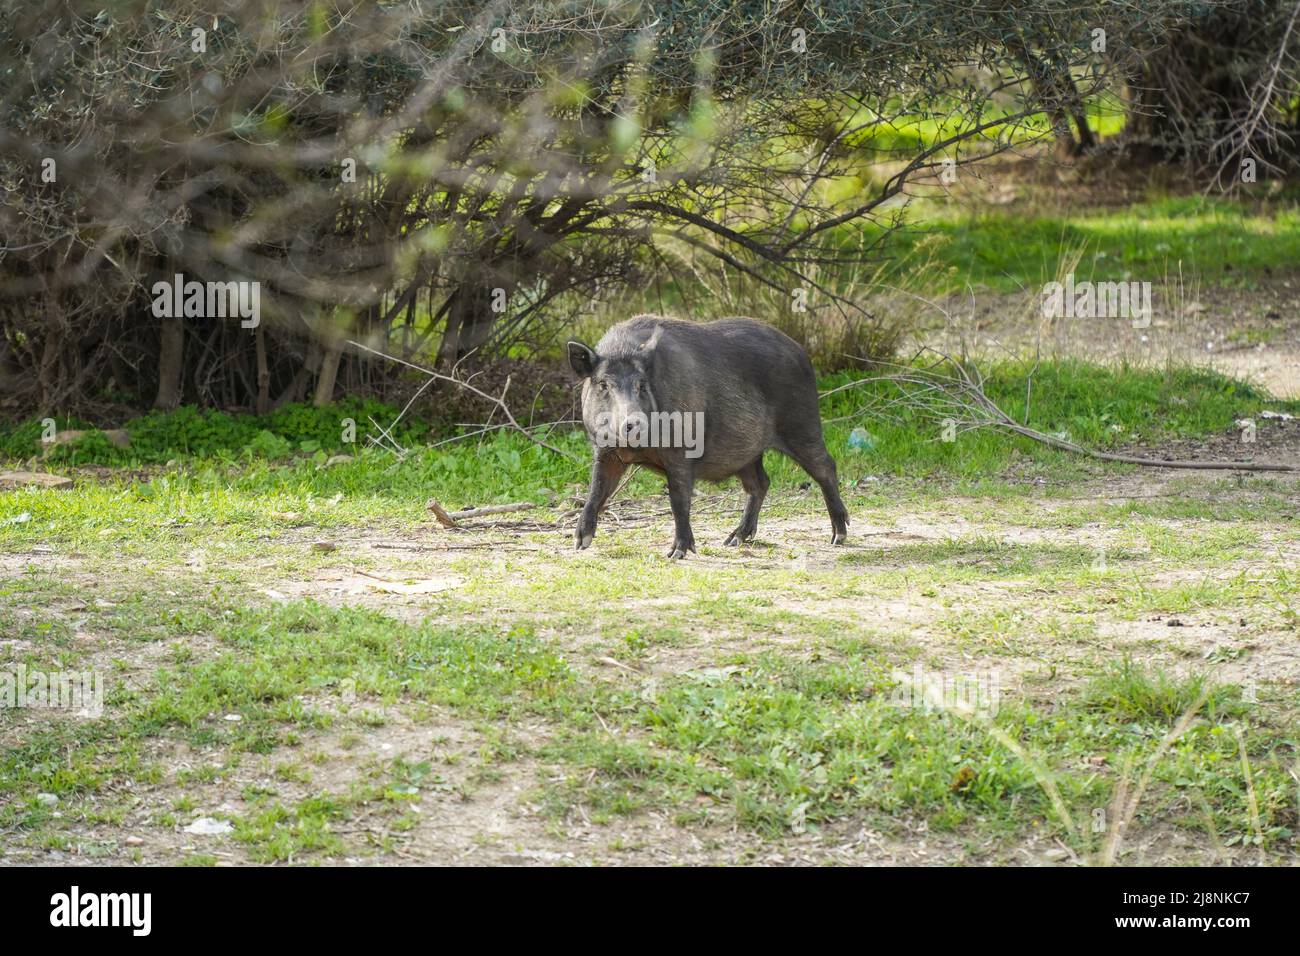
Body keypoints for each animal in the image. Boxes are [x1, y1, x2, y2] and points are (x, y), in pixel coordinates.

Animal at [568, 314, 849, 558]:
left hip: (802, 424)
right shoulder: (605, 451)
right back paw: (733, 540)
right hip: (748, 453)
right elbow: (596, 490)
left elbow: (678, 499)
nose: (633, 422)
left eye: (641, 384)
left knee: (826, 467)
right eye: (603, 384)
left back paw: (838, 537)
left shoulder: (680, 450)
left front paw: (677, 554)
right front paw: (579, 543)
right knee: (760, 483)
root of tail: (801, 351)